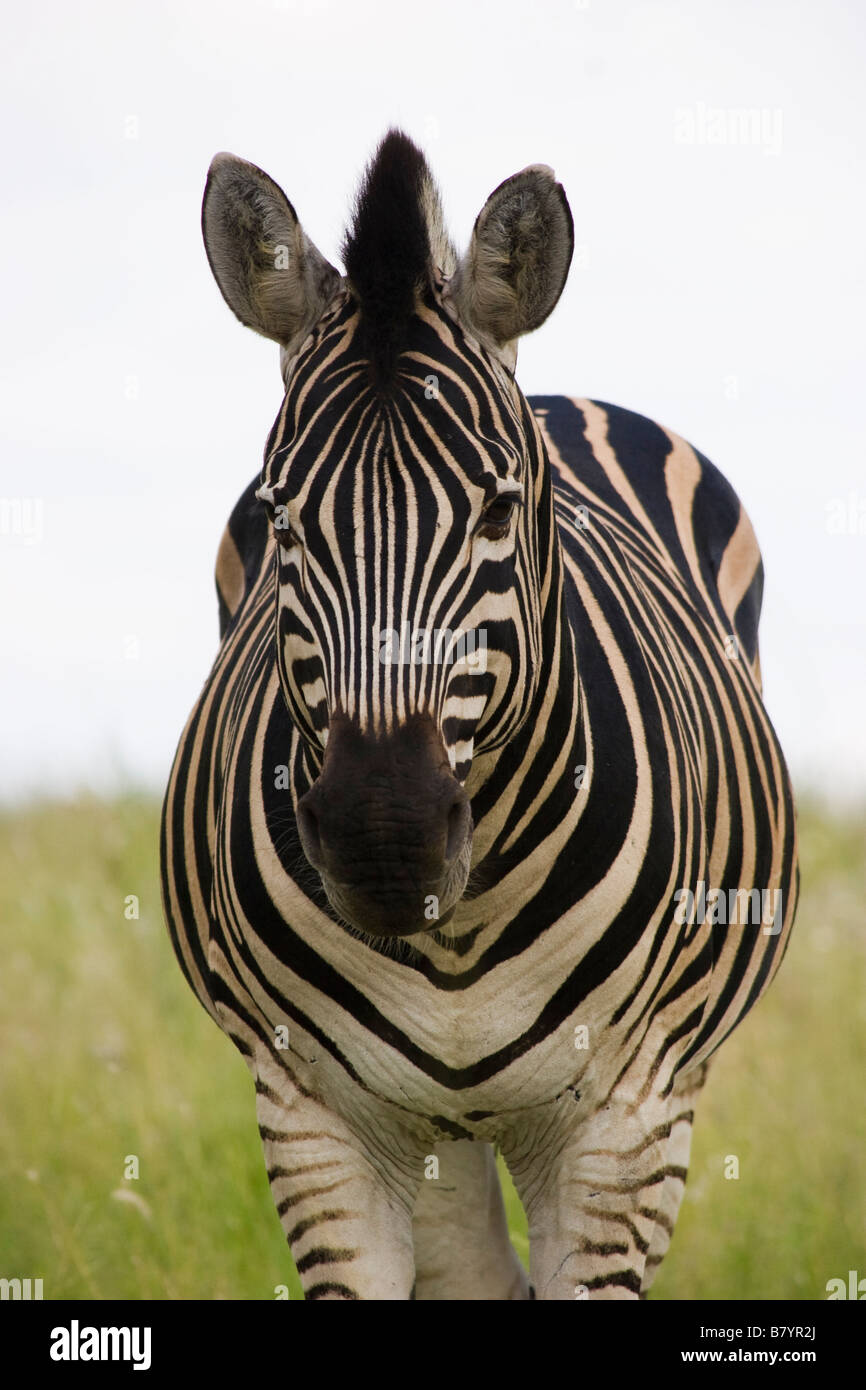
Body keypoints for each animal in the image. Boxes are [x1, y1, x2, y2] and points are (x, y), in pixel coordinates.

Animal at [161, 129, 798, 1300]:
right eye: (282, 518)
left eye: (498, 509)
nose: (385, 838)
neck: (456, 938)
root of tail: (554, 390)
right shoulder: (314, 1119)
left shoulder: (626, 1124)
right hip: (433, 1133)